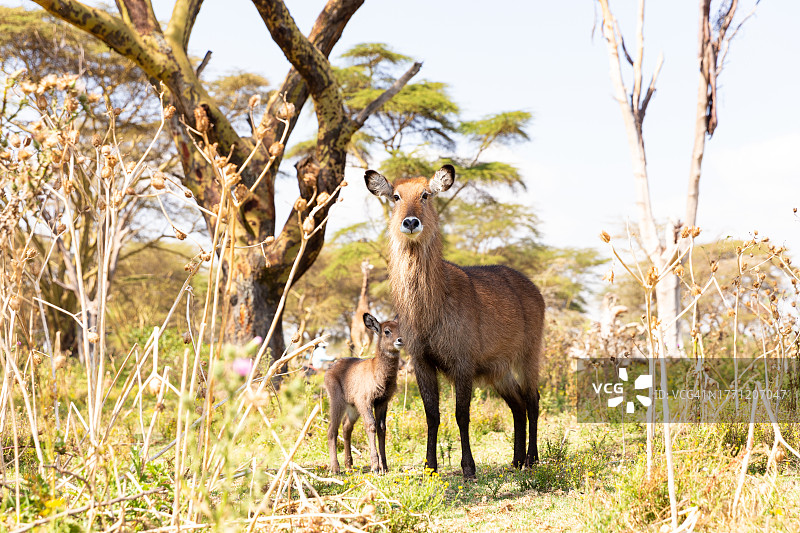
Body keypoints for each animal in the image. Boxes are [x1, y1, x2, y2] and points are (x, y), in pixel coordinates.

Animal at [324, 314, 404, 472]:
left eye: (401, 328)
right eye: (386, 331)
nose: (400, 340)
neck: (378, 372)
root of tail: (330, 367)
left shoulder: (382, 401)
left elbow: (381, 428)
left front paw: (384, 466)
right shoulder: (365, 401)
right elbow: (371, 426)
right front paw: (375, 466)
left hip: (353, 408)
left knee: (346, 427)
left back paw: (349, 465)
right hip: (338, 402)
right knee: (332, 430)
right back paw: (335, 468)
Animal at [368, 163, 544, 478]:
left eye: (425, 194)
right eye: (396, 197)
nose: (410, 222)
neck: (430, 308)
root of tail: (532, 288)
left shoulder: (462, 363)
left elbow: (462, 414)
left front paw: (468, 467)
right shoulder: (422, 361)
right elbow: (432, 415)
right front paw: (430, 466)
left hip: (528, 356)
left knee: (532, 400)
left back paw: (531, 459)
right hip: (497, 370)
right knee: (518, 405)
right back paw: (515, 460)